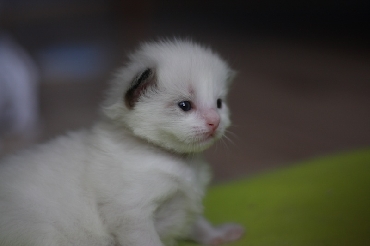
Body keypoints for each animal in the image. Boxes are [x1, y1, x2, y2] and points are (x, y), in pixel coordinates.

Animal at [0, 39, 244, 245]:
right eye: (185, 105)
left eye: (219, 103)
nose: (215, 121)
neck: (176, 160)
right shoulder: (132, 216)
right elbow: (150, 242)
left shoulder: (185, 202)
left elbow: (199, 225)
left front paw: (218, 235)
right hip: (45, 235)